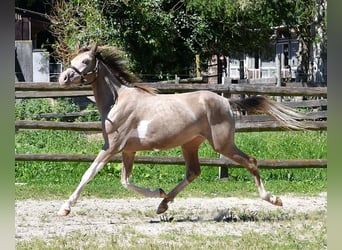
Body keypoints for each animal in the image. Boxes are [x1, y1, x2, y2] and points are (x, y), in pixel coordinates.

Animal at [57, 44, 308, 216]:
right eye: (74, 59)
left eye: (86, 61)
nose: (63, 77)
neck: (117, 102)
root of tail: (226, 102)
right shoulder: (128, 150)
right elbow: (125, 181)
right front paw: (158, 192)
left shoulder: (111, 147)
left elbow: (89, 173)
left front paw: (65, 207)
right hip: (190, 144)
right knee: (193, 172)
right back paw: (163, 204)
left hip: (222, 144)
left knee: (251, 162)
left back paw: (273, 199)